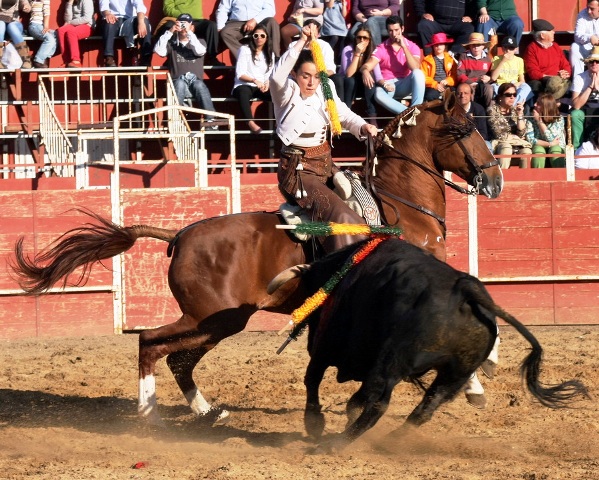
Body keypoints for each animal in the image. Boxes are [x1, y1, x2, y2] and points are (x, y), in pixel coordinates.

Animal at [11, 94, 504, 424]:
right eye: (465, 130)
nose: (496, 180)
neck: (399, 208)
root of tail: (182, 234)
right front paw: (478, 380)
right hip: (213, 318)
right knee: (150, 342)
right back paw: (151, 412)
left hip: (216, 323)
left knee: (176, 359)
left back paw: (207, 411)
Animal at [272, 236, 592, 446]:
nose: (308, 334)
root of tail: (467, 291)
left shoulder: (326, 348)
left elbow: (312, 379)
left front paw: (314, 425)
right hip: (454, 375)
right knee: (425, 408)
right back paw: (390, 440)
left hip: (390, 362)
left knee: (379, 401)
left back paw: (338, 442)